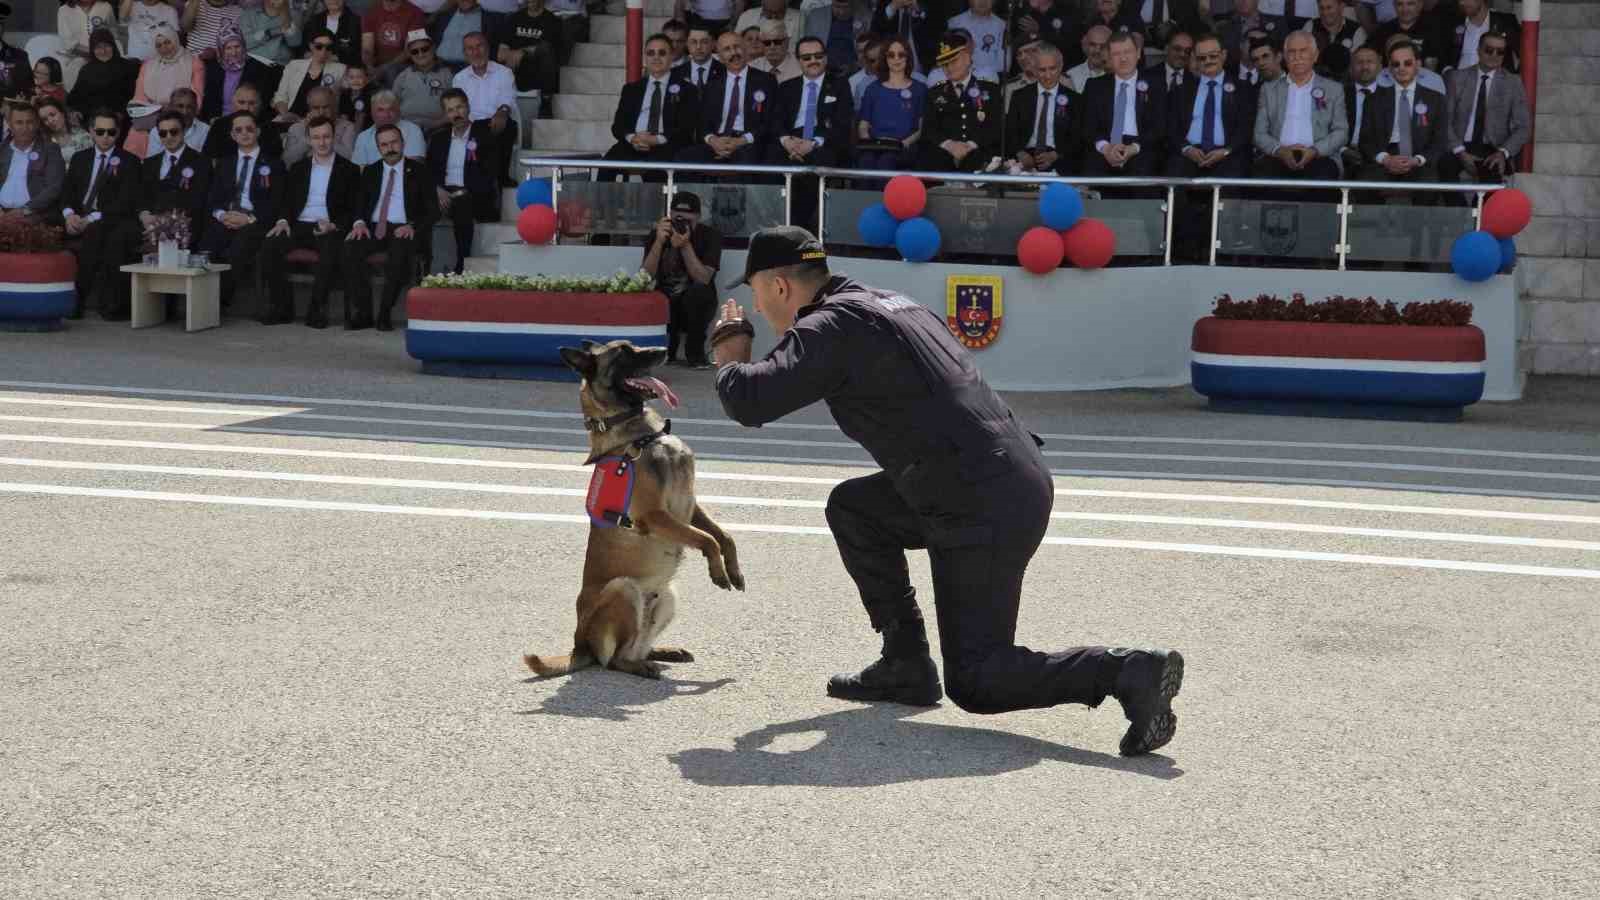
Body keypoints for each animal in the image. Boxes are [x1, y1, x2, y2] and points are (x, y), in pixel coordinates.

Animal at [524, 339, 748, 675]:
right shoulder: (655, 516)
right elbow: (707, 539)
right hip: (623, 589)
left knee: (637, 648)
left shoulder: (691, 506)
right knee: (614, 660)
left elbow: (724, 536)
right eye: (624, 352)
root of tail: (579, 646)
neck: (646, 435)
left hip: (668, 597)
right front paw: (718, 572)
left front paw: (733, 571)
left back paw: (664, 652)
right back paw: (641, 667)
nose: (665, 350)